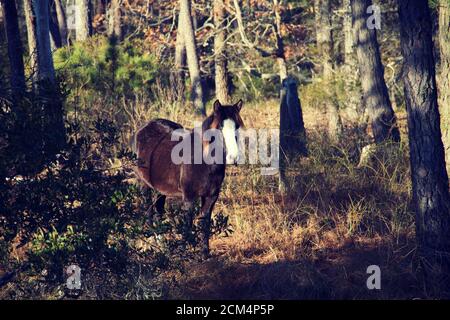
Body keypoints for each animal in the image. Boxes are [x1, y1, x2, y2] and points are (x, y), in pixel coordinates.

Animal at [134, 100, 244, 258]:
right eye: (220, 127)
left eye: (237, 126)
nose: (233, 157)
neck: (204, 161)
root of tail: (145, 127)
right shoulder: (189, 197)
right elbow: (187, 225)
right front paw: (184, 253)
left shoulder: (211, 196)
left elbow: (204, 223)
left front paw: (204, 253)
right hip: (144, 185)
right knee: (148, 213)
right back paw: (151, 243)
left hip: (159, 189)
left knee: (158, 213)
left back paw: (162, 245)